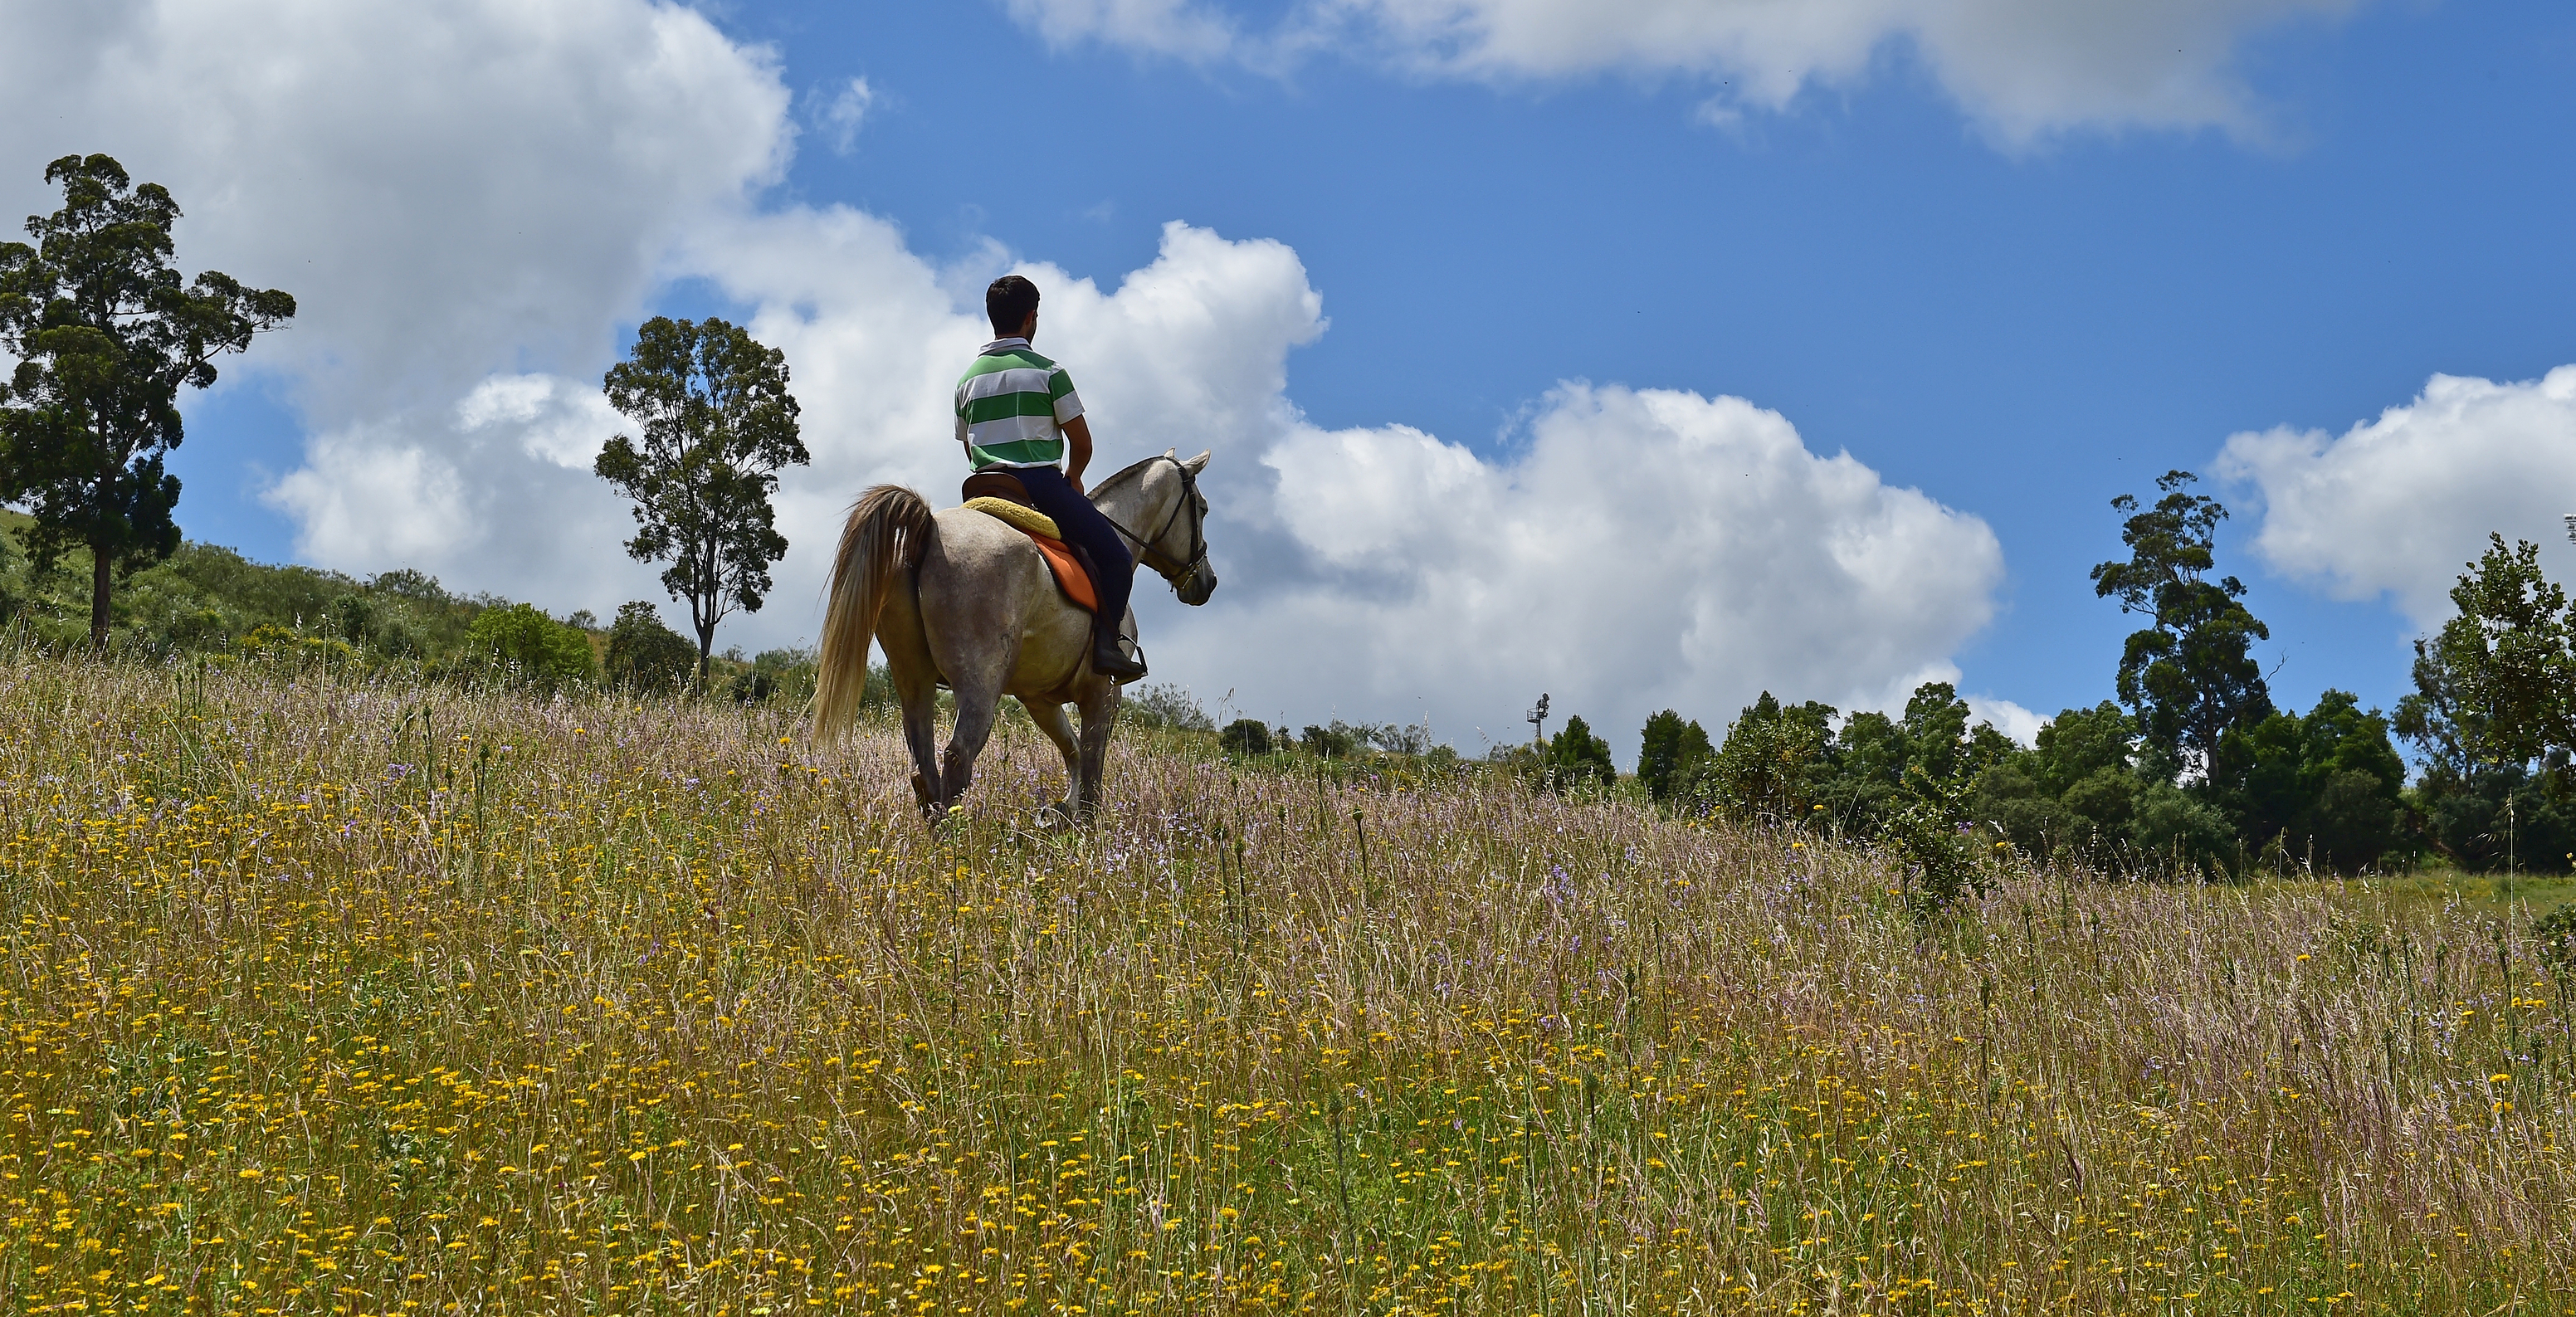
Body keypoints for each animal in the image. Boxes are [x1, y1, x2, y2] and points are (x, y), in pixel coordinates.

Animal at [808, 453, 1210, 824]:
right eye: (1203, 509)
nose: (1208, 582)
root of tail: (929, 528)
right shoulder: (1103, 693)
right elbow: (1092, 772)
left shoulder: (1040, 700)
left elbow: (1074, 753)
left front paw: (1063, 811)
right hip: (980, 682)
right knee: (957, 759)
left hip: (913, 679)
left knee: (923, 770)